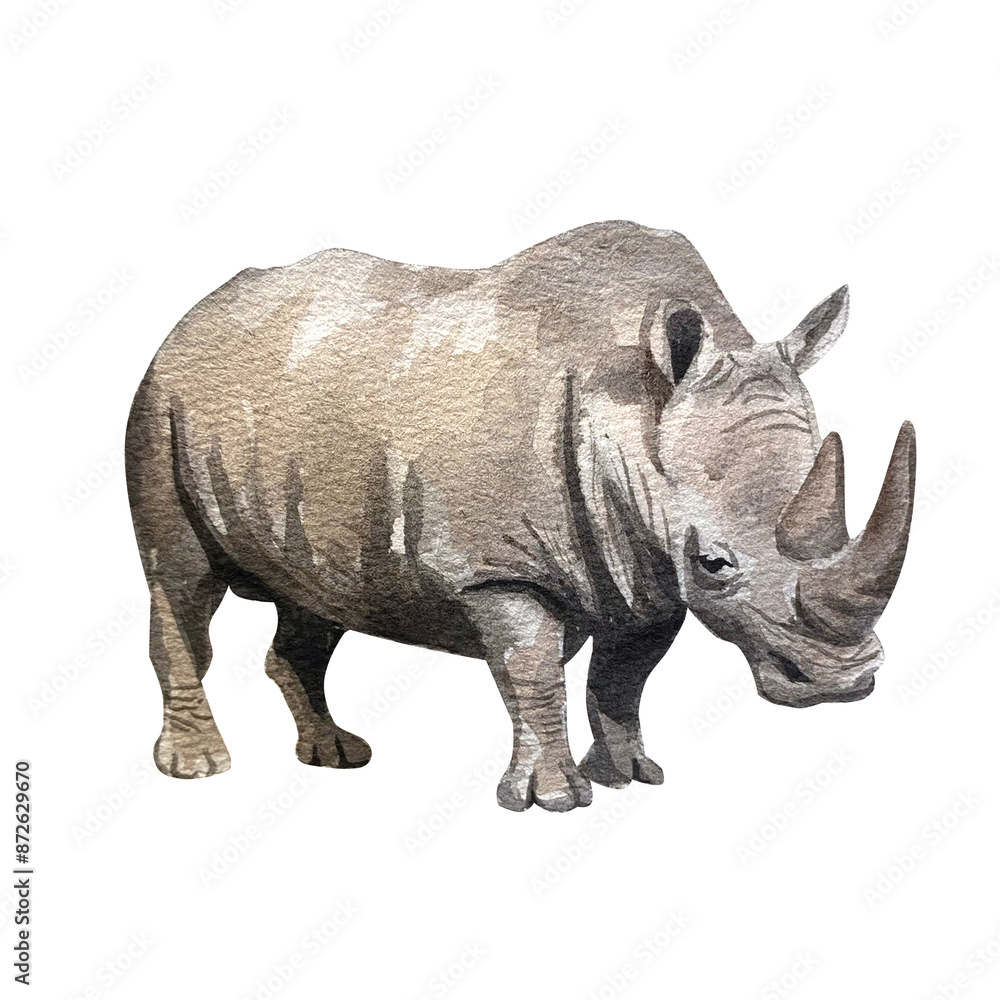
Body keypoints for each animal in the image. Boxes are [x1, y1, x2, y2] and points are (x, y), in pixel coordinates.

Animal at [125, 220, 915, 812]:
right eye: (715, 563)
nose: (845, 681)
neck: (631, 409)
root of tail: (192, 316)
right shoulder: (495, 566)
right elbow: (531, 667)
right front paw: (552, 799)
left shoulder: (648, 565)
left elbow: (626, 673)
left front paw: (630, 776)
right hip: (160, 401)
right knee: (181, 580)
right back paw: (198, 767)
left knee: (314, 593)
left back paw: (336, 756)